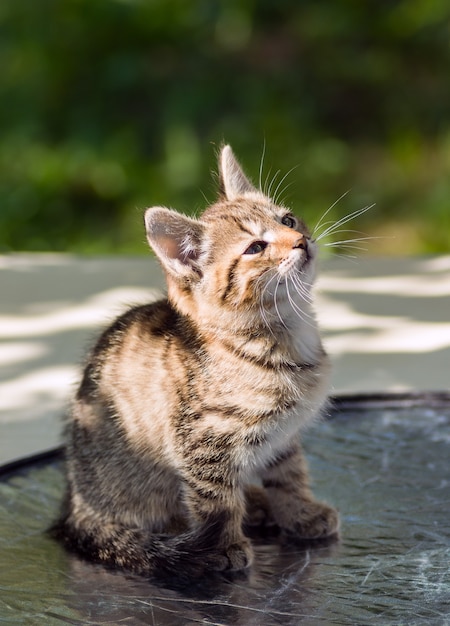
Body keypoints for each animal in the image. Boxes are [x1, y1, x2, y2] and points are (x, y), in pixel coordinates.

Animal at [51, 144, 338, 576]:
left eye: (288, 219)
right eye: (255, 247)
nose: (302, 240)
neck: (285, 335)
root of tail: (77, 504)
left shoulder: (283, 436)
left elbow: (289, 475)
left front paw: (300, 514)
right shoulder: (201, 440)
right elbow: (216, 503)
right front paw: (225, 546)